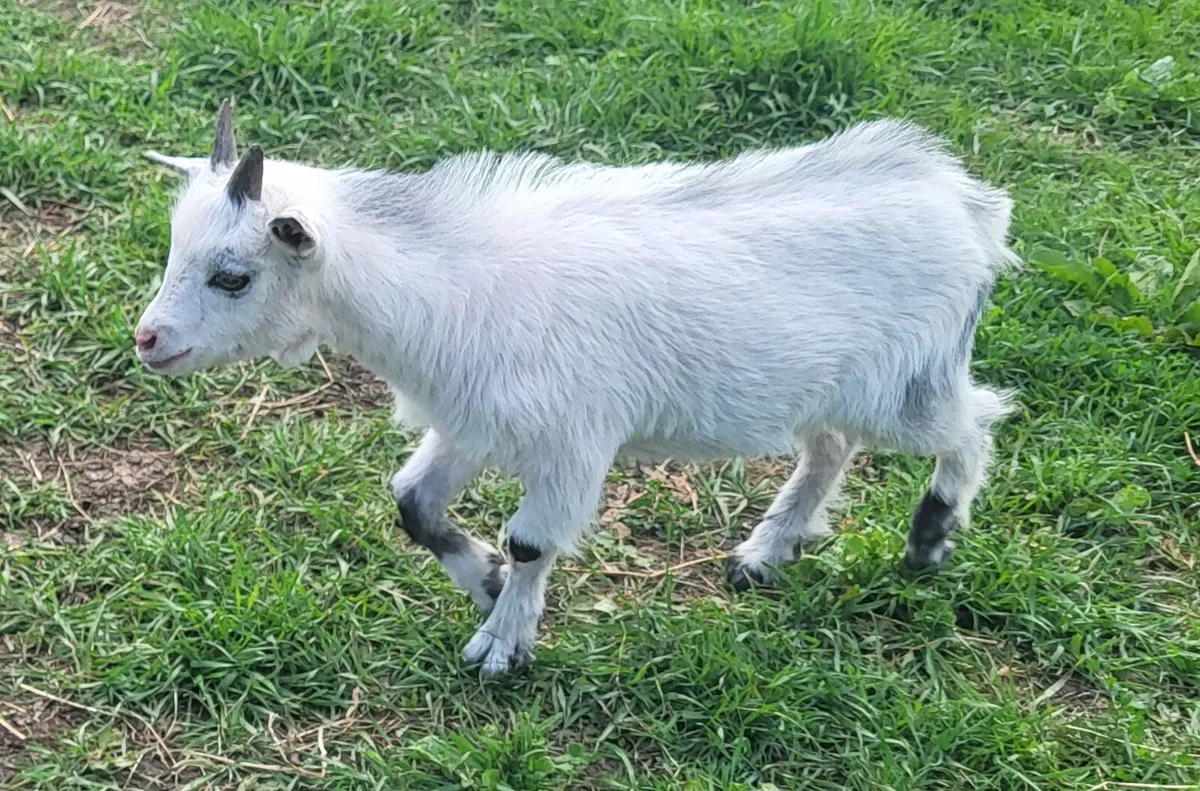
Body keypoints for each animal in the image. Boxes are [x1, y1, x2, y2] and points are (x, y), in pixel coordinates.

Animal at [136, 98, 1015, 675]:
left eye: (233, 275)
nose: (149, 340)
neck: (449, 287)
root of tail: (968, 202)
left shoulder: (569, 443)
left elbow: (533, 539)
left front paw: (502, 642)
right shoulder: (470, 423)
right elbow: (412, 502)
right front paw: (485, 580)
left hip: (911, 382)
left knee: (975, 421)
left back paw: (931, 537)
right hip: (829, 386)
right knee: (830, 448)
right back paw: (765, 553)